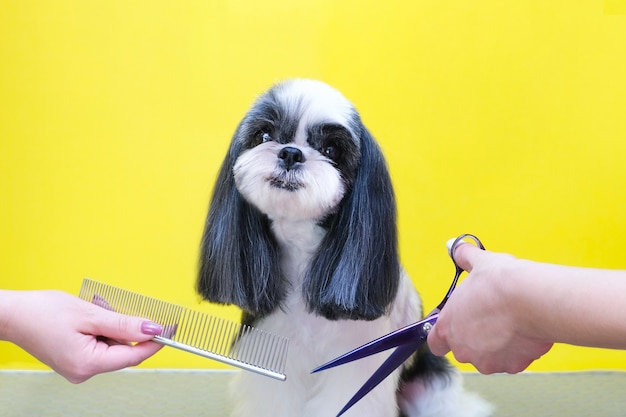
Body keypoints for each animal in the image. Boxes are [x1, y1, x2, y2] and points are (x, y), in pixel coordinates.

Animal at [197, 79, 490, 416]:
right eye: (264, 135)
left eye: (331, 149)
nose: (291, 153)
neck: (302, 256)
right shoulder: (272, 353)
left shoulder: (355, 364)